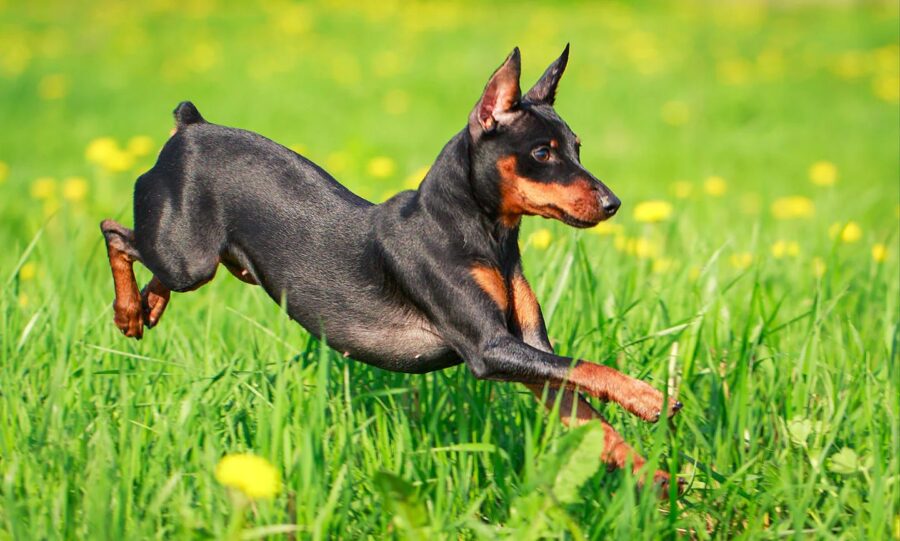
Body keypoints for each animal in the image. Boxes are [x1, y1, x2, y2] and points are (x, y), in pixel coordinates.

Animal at [100, 46, 684, 492]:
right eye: (542, 153)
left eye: (578, 149)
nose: (612, 203)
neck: (483, 236)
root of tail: (189, 127)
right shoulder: (490, 348)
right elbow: (590, 368)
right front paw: (651, 398)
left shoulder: (531, 353)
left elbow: (590, 413)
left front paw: (656, 477)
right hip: (189, 259)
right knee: (115, 232)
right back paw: (128, 311)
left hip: (205, 257)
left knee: (148, 258)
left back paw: (148, 306)